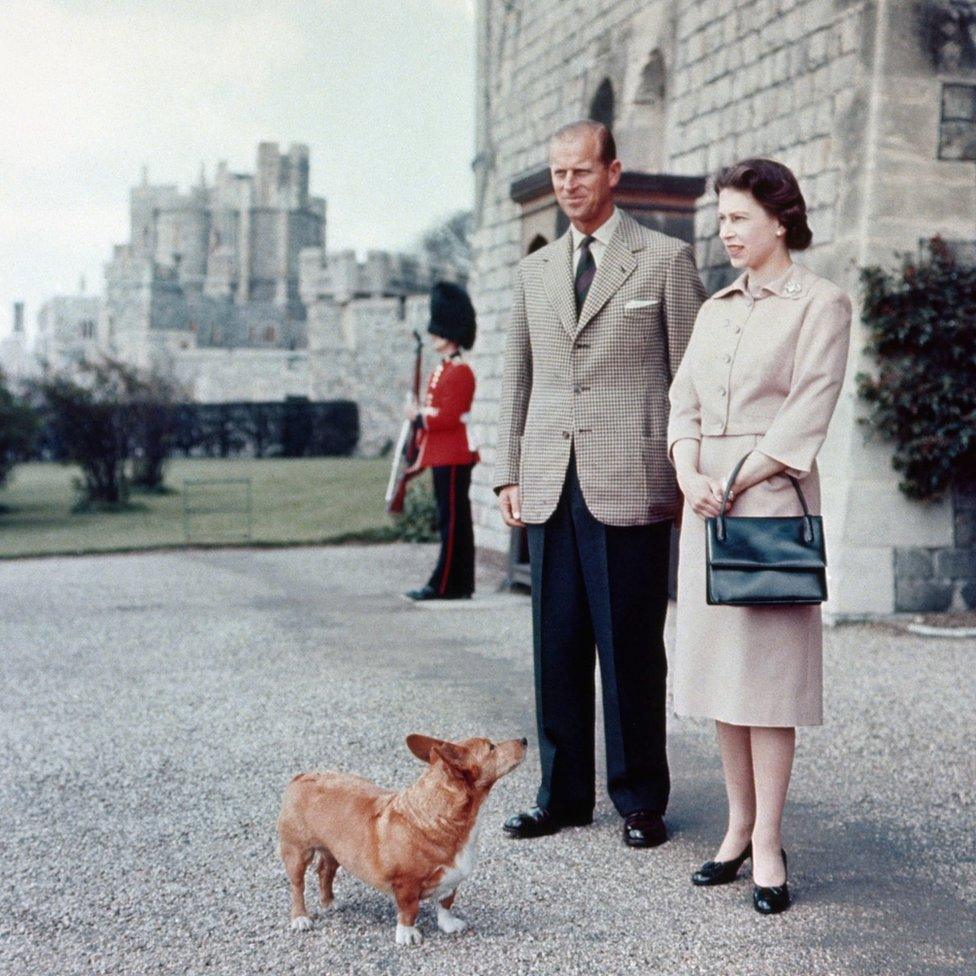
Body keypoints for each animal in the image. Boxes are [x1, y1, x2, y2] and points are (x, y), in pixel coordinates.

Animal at [276, 736, 528, 940]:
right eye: (491, 747)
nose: (525, 740)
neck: (440, 818)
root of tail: (301, 776)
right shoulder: (406, 884)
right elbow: (409, 911)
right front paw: (407, 935)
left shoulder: (451, 881)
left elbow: (445, 903)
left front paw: (448, 924)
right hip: (297, 852)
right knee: (297, 886)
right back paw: (300, 918)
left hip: (334, 851)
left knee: (325, 872)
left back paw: (329, 902)